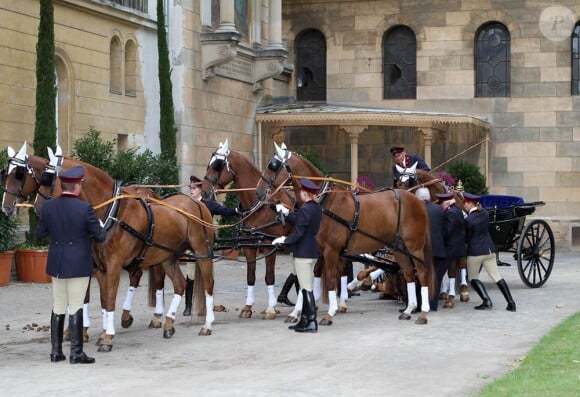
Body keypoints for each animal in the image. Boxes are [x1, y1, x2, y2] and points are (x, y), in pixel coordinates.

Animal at [34, 155, 215, 350]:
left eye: (48, 179)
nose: (38, 208)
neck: (113, 214)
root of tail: (197, 202)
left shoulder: (114, 264)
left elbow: (111, 299)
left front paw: (107, 338)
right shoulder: (100, 268)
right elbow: (104, 300)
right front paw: (103, 333)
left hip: (202, 252)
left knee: (208, 285)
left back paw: (207, 325)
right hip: (169, 257)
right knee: (180, 285)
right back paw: (168, 323)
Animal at [201, 141, 296, 320]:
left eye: (217, 165)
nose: (204, 191)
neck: (259, 205)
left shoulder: (269, 244)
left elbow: (269, 277)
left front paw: (270, 309)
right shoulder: (248, 245)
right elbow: (250, 276)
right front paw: (247, 307)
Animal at [258, 144, 436, 324]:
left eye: (273, 166)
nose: (259, 192)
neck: (324, 202)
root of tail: (417, 200)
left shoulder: (331, 251)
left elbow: (330, 280)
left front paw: (330, 313)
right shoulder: (319, 251)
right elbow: (308, 280)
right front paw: (297, 312)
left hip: (414, 247)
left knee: (422, 274)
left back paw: (423, 312)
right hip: (399, 248)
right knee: (408, 273)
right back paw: (409, 309)